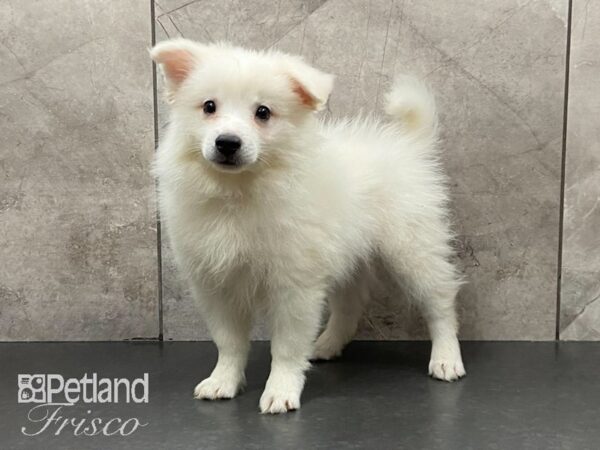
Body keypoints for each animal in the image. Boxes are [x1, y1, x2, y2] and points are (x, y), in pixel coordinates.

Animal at [149, 39, 464, 414]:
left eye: (263, 112)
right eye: (209, 106)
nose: (227, 142)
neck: (239, 192)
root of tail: (409, 145)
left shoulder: (294, 283)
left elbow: (285, 346)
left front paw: (281, 391)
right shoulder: (216, 283)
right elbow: (229, 342)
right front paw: (222, 381)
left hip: (413, 246)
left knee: (440, 300)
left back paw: (446, 358)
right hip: (348, 255)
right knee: (349, 303)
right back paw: (326, 345)